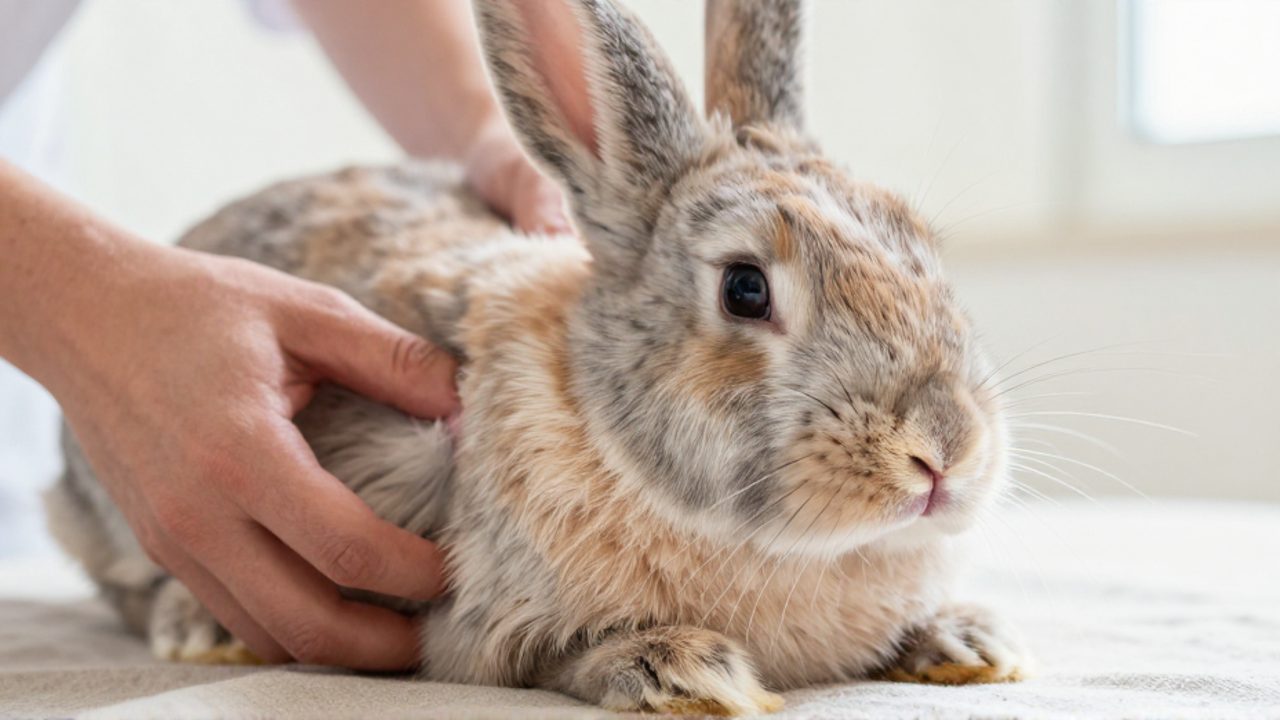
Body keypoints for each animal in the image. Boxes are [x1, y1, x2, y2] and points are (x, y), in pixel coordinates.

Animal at [45, 0, 1030, 714]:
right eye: (746, 289)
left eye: (922, 244)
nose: (944, 450)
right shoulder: (475, 631)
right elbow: (558, 657)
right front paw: (688, 673)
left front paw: (967, 643)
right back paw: (200, 627)